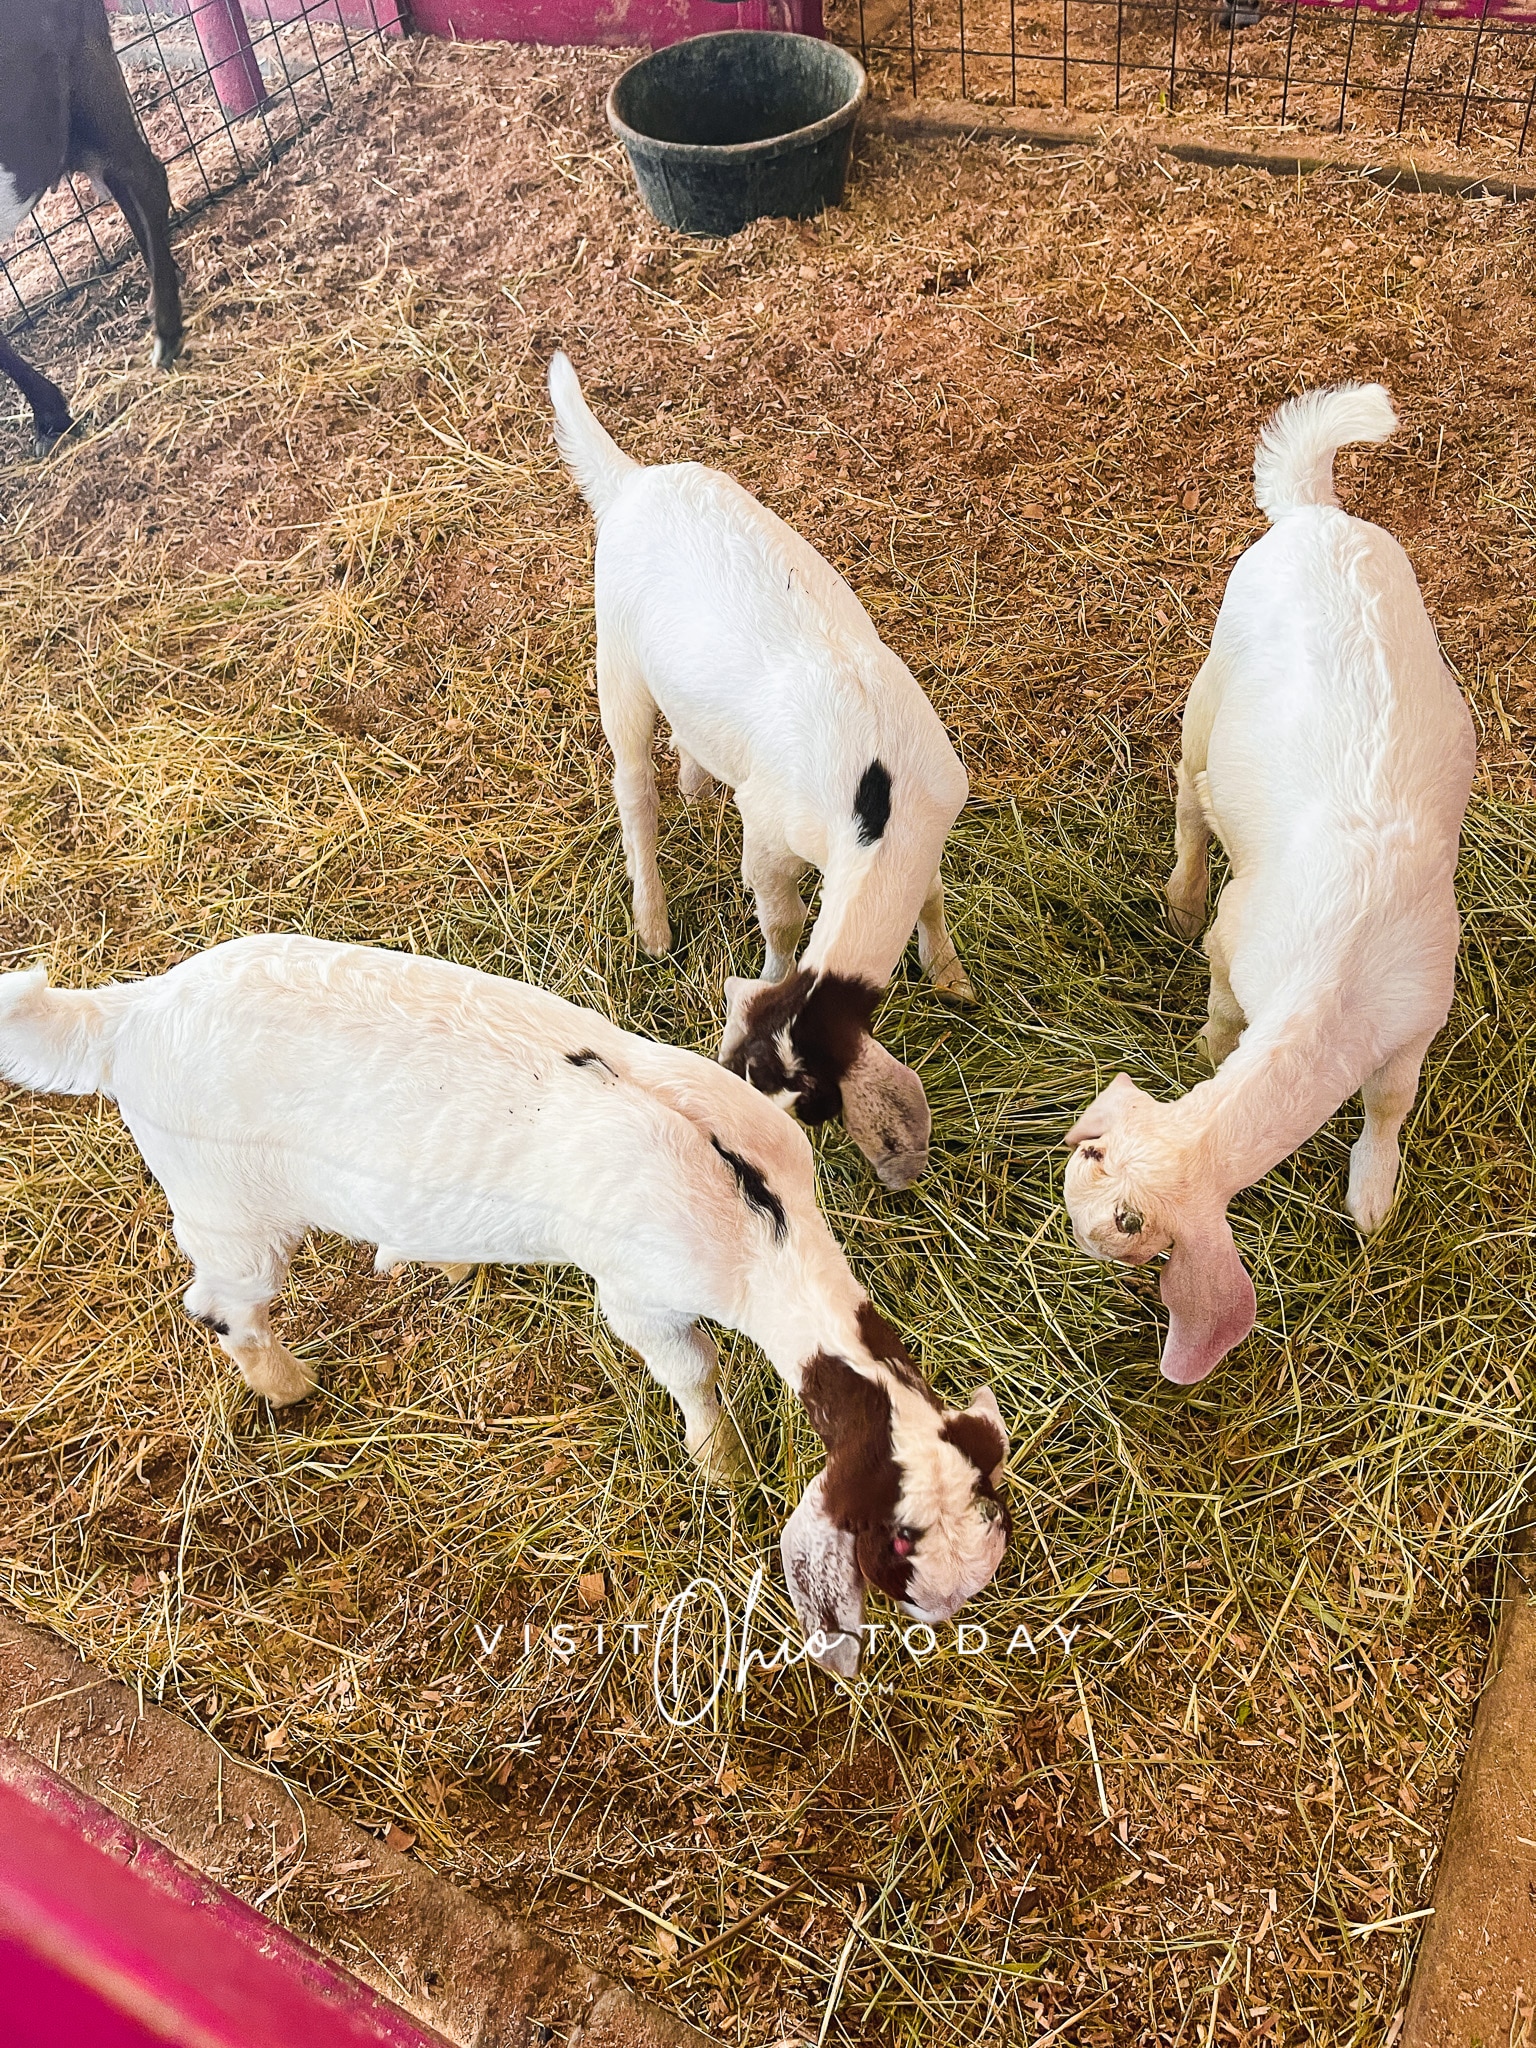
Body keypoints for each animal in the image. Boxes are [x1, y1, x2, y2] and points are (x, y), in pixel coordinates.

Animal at [0, 937, 1015, 1671]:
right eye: (893, 1559)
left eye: (994, 1510)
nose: (951, 1621)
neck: (761, 1213)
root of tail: (129, 1013)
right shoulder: (639, 1295)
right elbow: (693, 1374)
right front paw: (720, 1465)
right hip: (221, 1201)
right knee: (218, 1301)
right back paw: (285, 1382)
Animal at [548, 346, 966, 1196]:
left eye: (804, 1103)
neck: (876, 806)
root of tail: (630, 483)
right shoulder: (769, 833)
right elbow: (783, 918)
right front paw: (772, 959)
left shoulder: (934, 815)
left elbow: (936, 897)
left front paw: (948, 975)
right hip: (616, 658)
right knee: (631, 784)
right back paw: (652, 924)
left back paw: (695, 779)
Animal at [1073, 382, 1482, 1376]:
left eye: (1118, 1229)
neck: (1336, 985)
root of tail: (1312, 515)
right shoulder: (1240, 942)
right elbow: (1224, 1009)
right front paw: (1209, 1047)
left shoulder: (1419, 1013)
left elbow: (1391, 1102)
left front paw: (1373, 1196)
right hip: (1209, 684)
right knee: (1191, 800)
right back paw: (1179, 899)